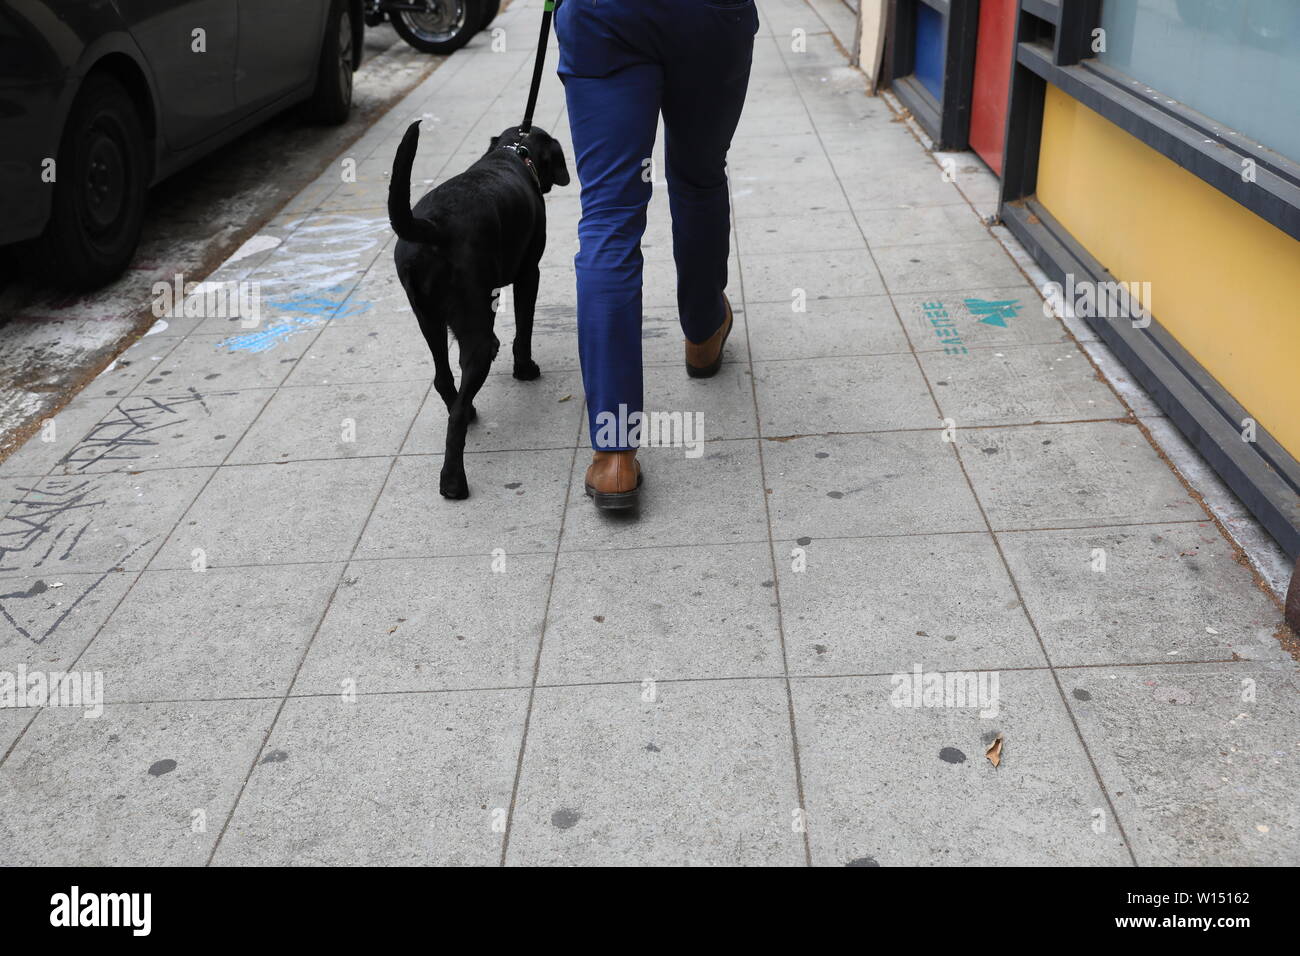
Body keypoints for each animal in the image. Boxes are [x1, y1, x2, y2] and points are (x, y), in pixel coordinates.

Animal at [384, 121, 569, 502]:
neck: (515, 151)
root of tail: (432, 225)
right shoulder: (529, 273)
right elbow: (524, 329)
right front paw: (525, 369)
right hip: (480, 336)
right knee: (455, 414)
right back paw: (453, 481)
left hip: (428, 321)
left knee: (443, 379)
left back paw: (466, 409)